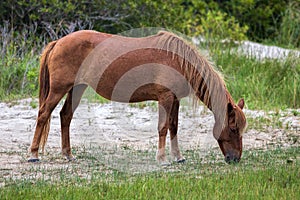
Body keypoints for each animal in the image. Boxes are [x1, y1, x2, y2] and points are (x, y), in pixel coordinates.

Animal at [29, 29, 247, 164]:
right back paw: (33, 154)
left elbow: (174, 127)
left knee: (65, 116)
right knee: (43, 114)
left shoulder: (175, 100)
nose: (235, 159)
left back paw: (68, 155)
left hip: (77, 88)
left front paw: (178, 157)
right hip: (59, 89)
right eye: (233, 128)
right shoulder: (165, 98)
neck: (179, 61)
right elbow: (163, 128)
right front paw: (162, 159)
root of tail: (58, 42)